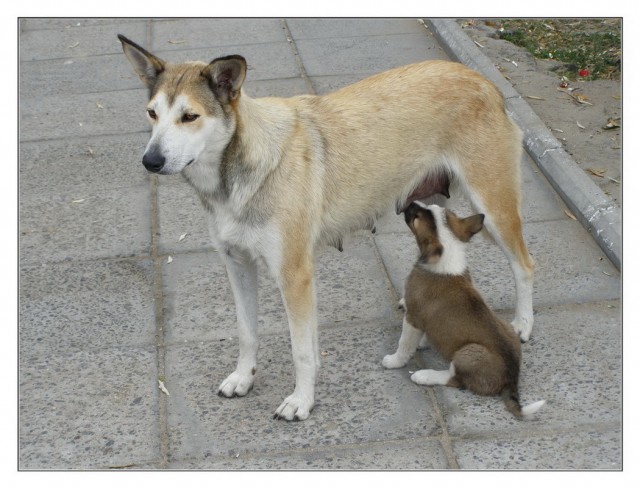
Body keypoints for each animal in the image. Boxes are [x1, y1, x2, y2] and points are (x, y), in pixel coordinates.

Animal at [382, 202, 544, 416]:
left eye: (416, 217)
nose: (408, 203)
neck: (447, 256)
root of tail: (512, 380)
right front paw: (424, 342)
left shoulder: (412, 317)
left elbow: (404, 344)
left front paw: (394, 361)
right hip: (505, 326)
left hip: (467, 353)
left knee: (456, 380)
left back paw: (424, 376)